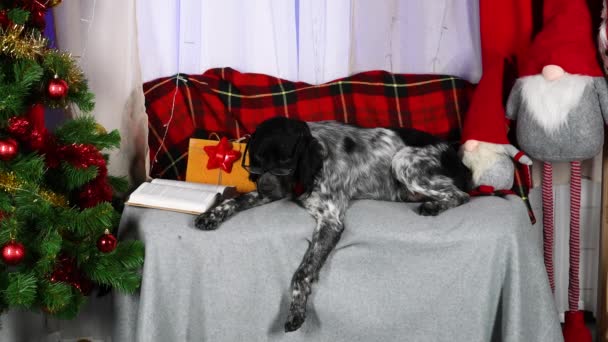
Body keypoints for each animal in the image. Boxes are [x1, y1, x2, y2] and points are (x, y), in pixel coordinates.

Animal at [195, 117, 470, 332]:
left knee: (461, 195)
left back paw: (433, 205)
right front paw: (212, 214)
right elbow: (236, 200)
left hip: (403, 159)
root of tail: (459, 159)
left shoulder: (330, 220)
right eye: (257, 162)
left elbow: (302, 271)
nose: (266, 188)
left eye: (286, 162)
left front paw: (296, 310)